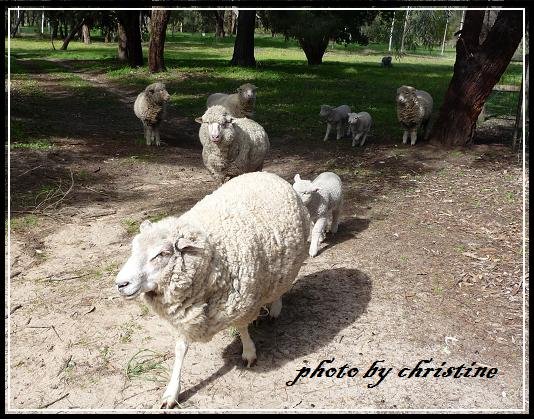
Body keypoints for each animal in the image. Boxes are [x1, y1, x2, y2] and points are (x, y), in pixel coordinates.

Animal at [115, 171, 312, 410]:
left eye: (161, 253)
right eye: (134, 249)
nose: (120, 284)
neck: (213, 256)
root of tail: (266, 173)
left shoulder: (241, 301)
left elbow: (242, 327)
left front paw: (249, 352)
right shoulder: (185, 315)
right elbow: (180, 350)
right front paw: (172, 392)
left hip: (291, 262)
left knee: (281, 288)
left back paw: (274, 308)